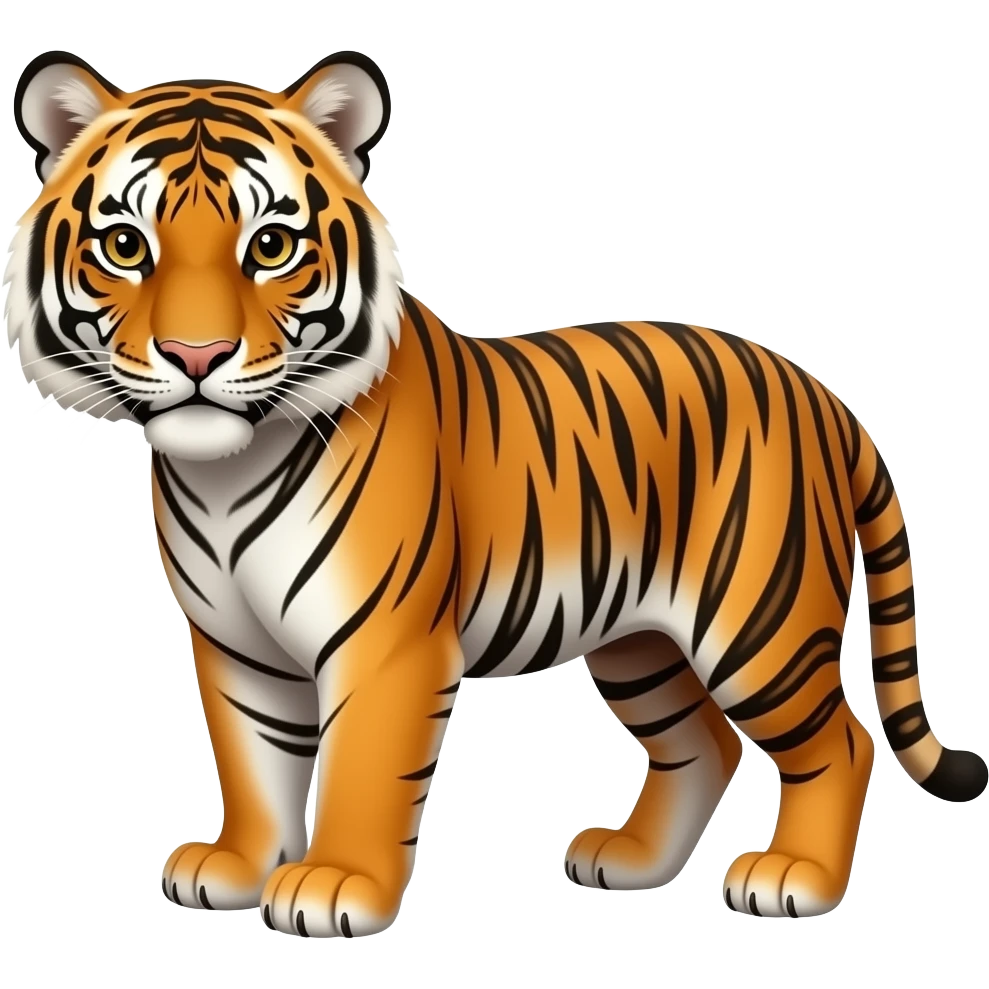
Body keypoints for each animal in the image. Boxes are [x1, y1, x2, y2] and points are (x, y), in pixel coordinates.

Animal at [4, 48, 985, 939]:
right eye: (126, 246)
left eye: (271, 247)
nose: (197, 356)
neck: (224, 471)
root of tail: (821, 393)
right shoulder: (235, 645)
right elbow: (254, 762)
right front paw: (239, 864)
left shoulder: (386, 641)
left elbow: (362, 768)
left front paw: (335, 884)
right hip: (638, 641)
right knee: (700, 744)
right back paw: (629, 860)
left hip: (757, 625)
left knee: (841, 742)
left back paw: (794, 879)